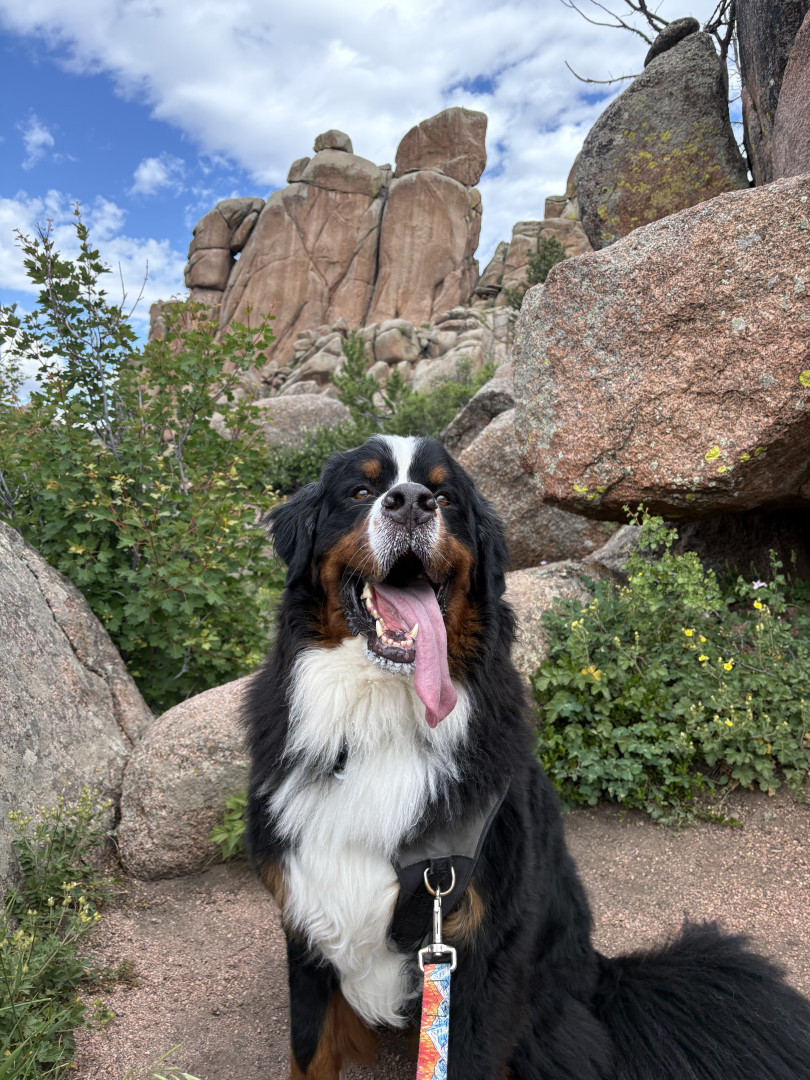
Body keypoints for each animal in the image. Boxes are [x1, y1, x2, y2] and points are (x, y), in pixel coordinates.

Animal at [244, 433, 810, 1079]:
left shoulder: (481, 952)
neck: (384, 719)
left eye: (445, 496)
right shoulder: (308, 917)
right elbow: (308, 1049)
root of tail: (598, 974)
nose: (410, 502)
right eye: (360, 490)